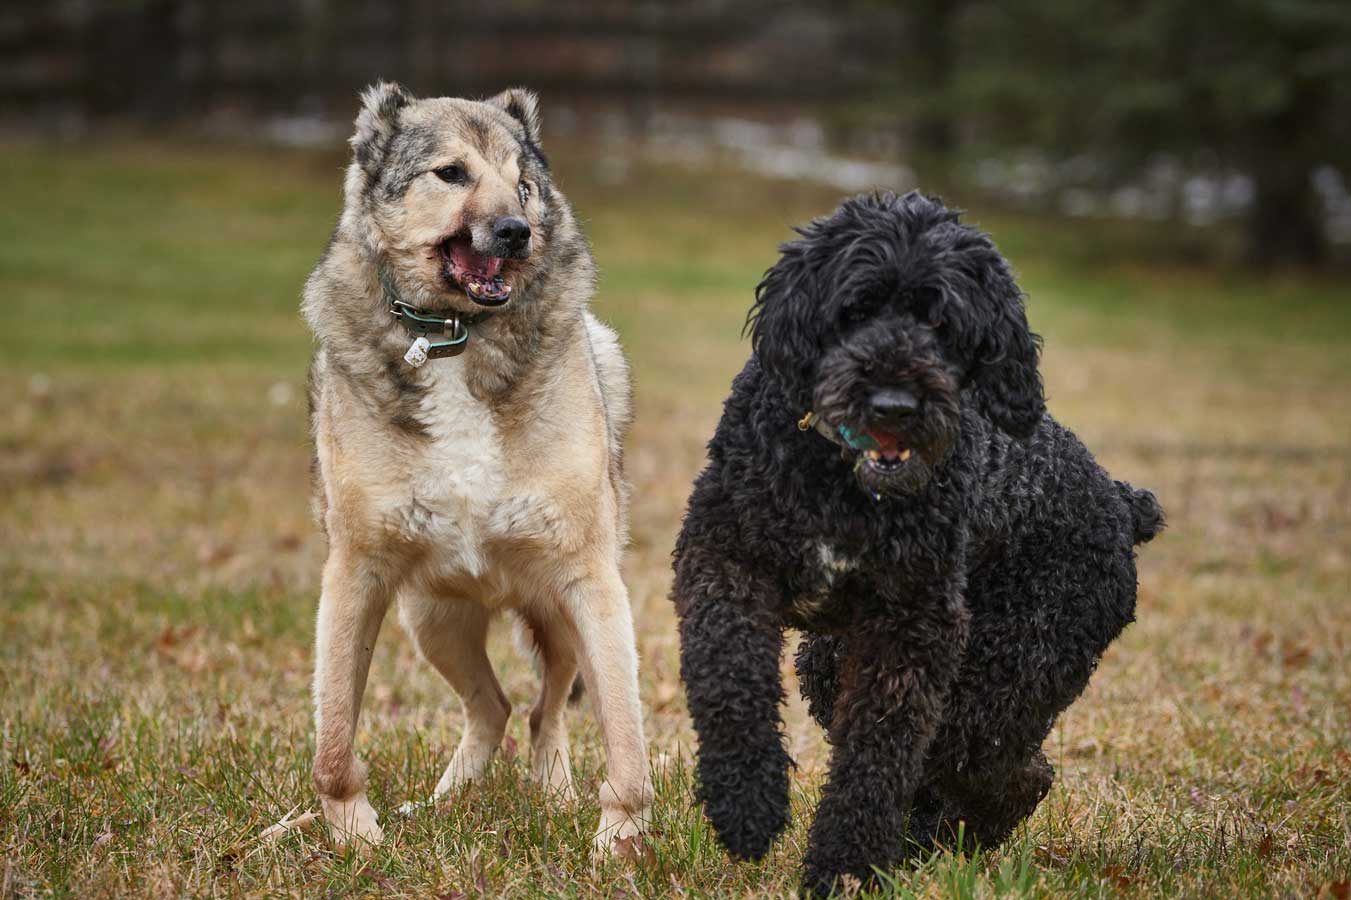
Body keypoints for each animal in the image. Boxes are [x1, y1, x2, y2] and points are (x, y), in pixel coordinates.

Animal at [303, 80, 651, 854]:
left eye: (523, 182)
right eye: (452, 173)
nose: (517, 231)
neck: (455, 336)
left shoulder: (588, 578)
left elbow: (625, 739)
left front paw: (619, 843)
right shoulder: (355, 573)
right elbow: (335, 737)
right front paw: (354, 836)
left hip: (551, 615)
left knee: (542, 711)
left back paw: (552, 794)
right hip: (434, 620)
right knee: (490, 706)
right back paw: (443, 803)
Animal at [672, 189, 1161, 891]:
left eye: (943, 325)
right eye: (857, 308)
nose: (895, 405)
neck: (844, 485)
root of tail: (1120, 500)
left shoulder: (913, 626)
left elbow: (881, 753)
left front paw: (847, 869)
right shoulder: (724, 554)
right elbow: (728, 675)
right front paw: (747, 807)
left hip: (1015, 665)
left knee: (1001, 766)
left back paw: (940, 839)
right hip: (836, 663)